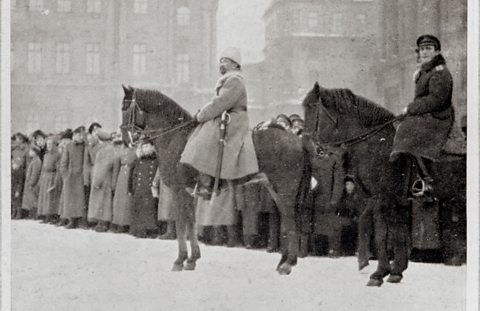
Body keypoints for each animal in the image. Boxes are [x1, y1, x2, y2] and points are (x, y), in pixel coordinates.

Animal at [120, 84, 308, 276]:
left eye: (125, 108)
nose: (126, 139)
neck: (176, 137)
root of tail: (296, 140)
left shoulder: (179, 190)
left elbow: (181, 223)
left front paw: (180, 260)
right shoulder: (188, 192)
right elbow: (190, 221)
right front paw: (192, 259)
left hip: (285, 190)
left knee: (290, 219)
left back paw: (287, 263)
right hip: (274, 189)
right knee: (287, 219)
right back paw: (284, 261)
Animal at [304, 82, 464, 288]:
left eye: (311, 107)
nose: (307, 145)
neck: (376, 145)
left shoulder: (383, 198)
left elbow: (382, 232)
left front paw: (379, 273)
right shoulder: (386, 200)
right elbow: (395, 231)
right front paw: (395, 271)